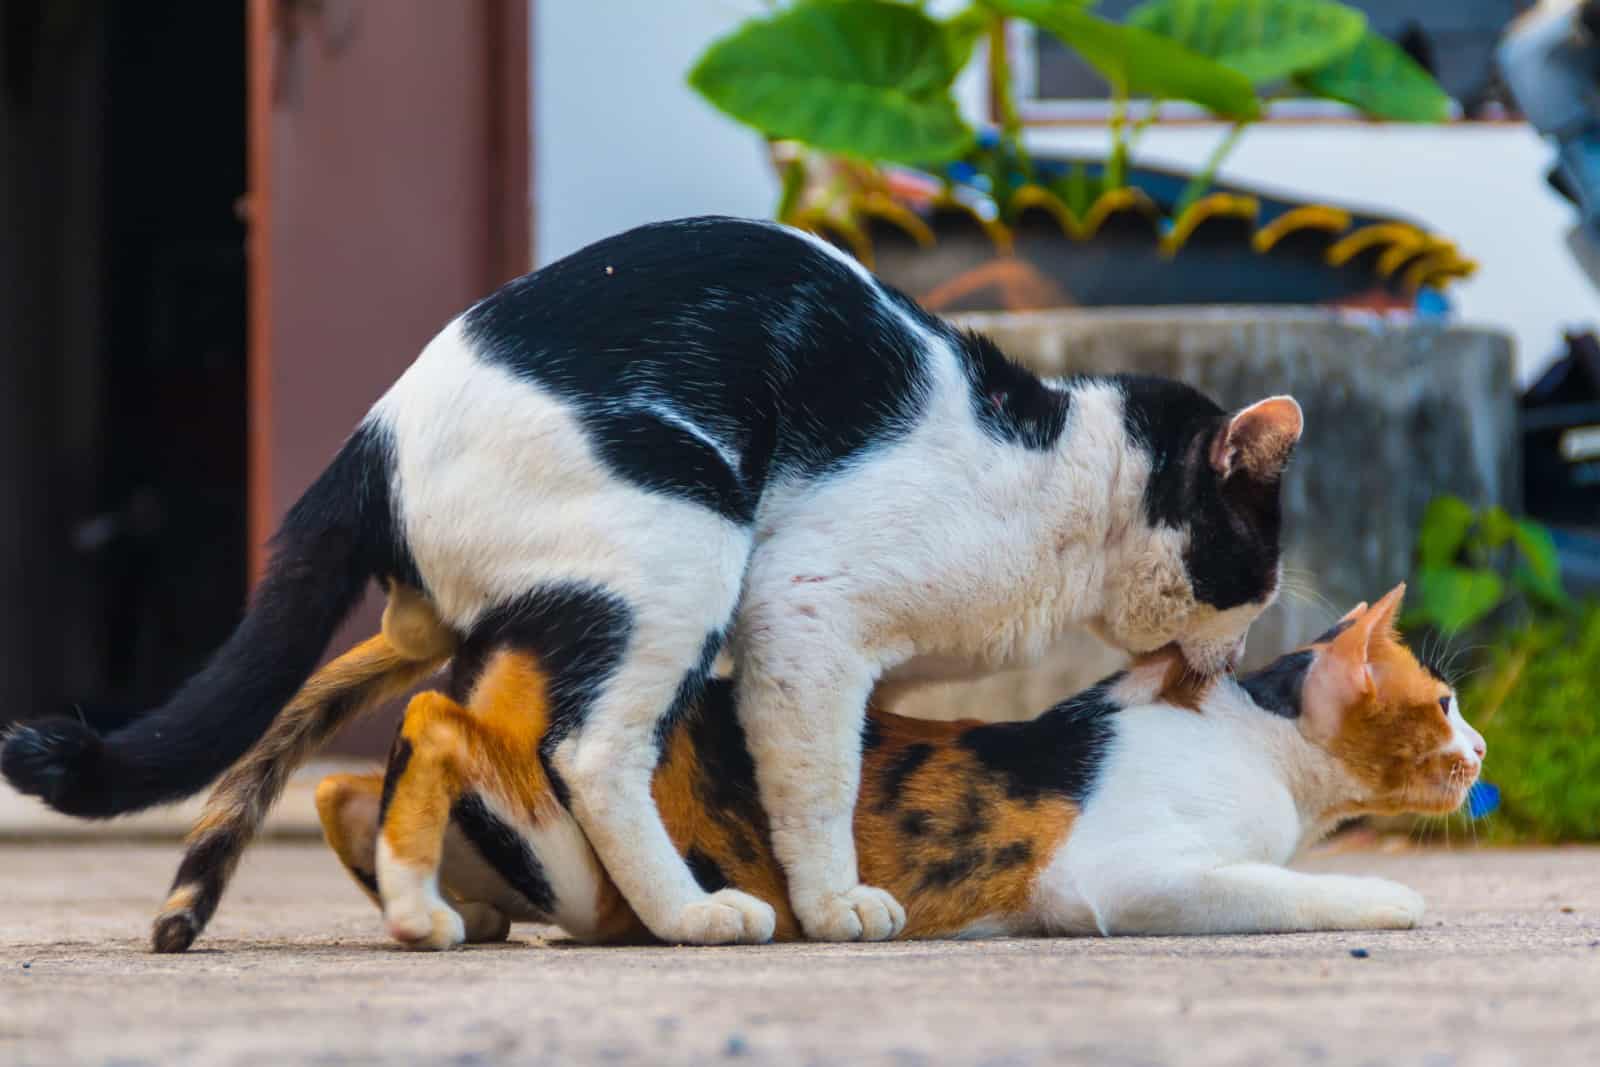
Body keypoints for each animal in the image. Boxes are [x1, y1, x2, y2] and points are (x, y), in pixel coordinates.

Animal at [0, 217, 1299, 953]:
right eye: (1260, 572)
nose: (1238, 654)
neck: (1056, 472)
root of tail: (374, 437)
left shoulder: (832, 658)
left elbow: (849, 763)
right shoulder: (802, 609)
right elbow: (816, 780)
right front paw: (833, 901)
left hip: (503, 606)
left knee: (426, 714)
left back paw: (428, 903)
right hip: (690, 527)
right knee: (584, 752)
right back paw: (682, 914)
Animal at [315, 585, 1484, 953]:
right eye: (1442, 702)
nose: (1479, 751)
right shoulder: (1113, 875)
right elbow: (1280, 885)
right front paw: (1389, 895)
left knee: (338, 784)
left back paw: (446, 899)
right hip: (574, 844)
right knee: (430, 720)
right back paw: (419, 906)